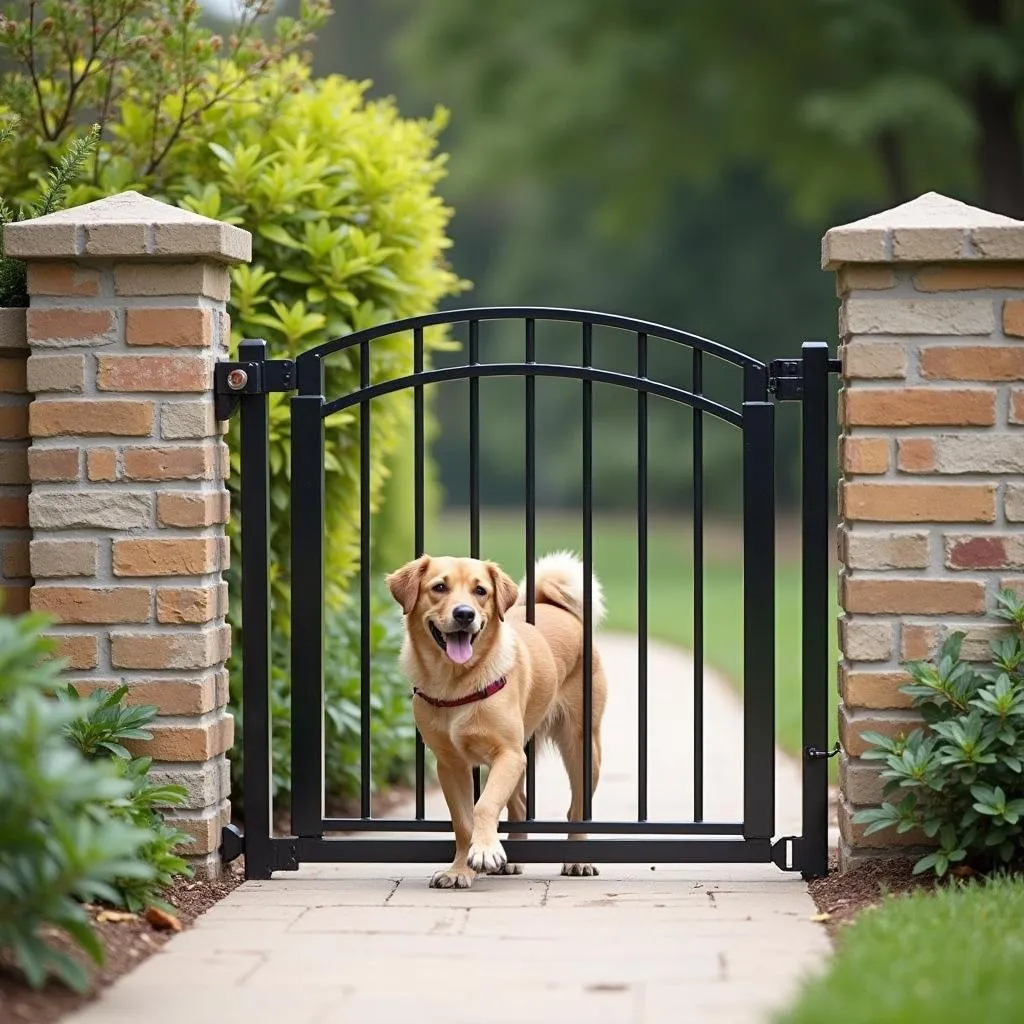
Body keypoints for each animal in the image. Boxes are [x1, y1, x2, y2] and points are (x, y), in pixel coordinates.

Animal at [385, 552, 606, 888]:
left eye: (481, 591)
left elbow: (485, 804)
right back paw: (512, 859)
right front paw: (461, 869)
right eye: (439, 587)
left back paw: (578, 859)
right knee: (520, 803)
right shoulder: (451, 765)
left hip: (581, 748)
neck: (455, 683)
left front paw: (486, 851)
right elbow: (464, 821)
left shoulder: (508, 755)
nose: (464, 614)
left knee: (577, 809)